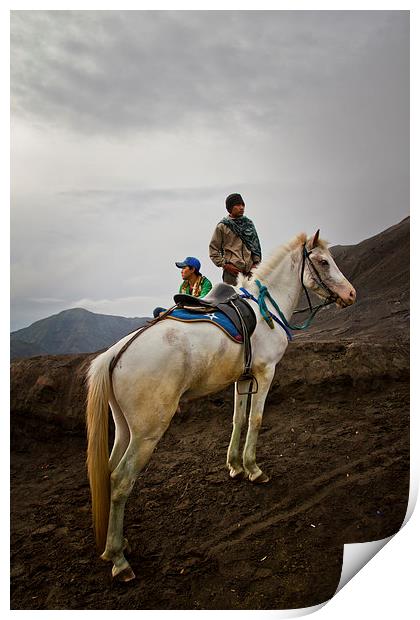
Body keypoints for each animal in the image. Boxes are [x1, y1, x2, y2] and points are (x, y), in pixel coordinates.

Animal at [87, 231, 356, 580]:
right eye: (323, 262)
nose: (351, 293)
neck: (266, 308)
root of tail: (115, 353)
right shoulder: (265, 373)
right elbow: (255, 420)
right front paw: (254, 469)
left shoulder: (243, 378)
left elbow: (238, 420)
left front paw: (236, 466)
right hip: (146, 433)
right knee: (121, 481)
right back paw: (119, 560)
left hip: (123, 428)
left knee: (108, 473)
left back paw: (117, 546)